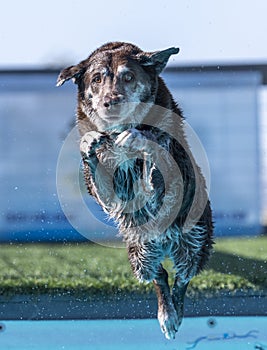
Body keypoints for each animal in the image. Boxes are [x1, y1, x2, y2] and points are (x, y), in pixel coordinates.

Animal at [57, 41, 214, 340]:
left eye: (128, 76)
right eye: (97, 79)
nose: (111, 101)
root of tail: (165, 243)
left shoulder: (175, 172)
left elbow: (158, 158)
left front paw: (141, 143)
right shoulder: (111, 197)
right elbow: (100, 178)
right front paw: (90, 141)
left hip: (194, 241)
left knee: (183, 277)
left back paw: (173, 315)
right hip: (140, 255)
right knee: (160, 276)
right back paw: (166, 313)